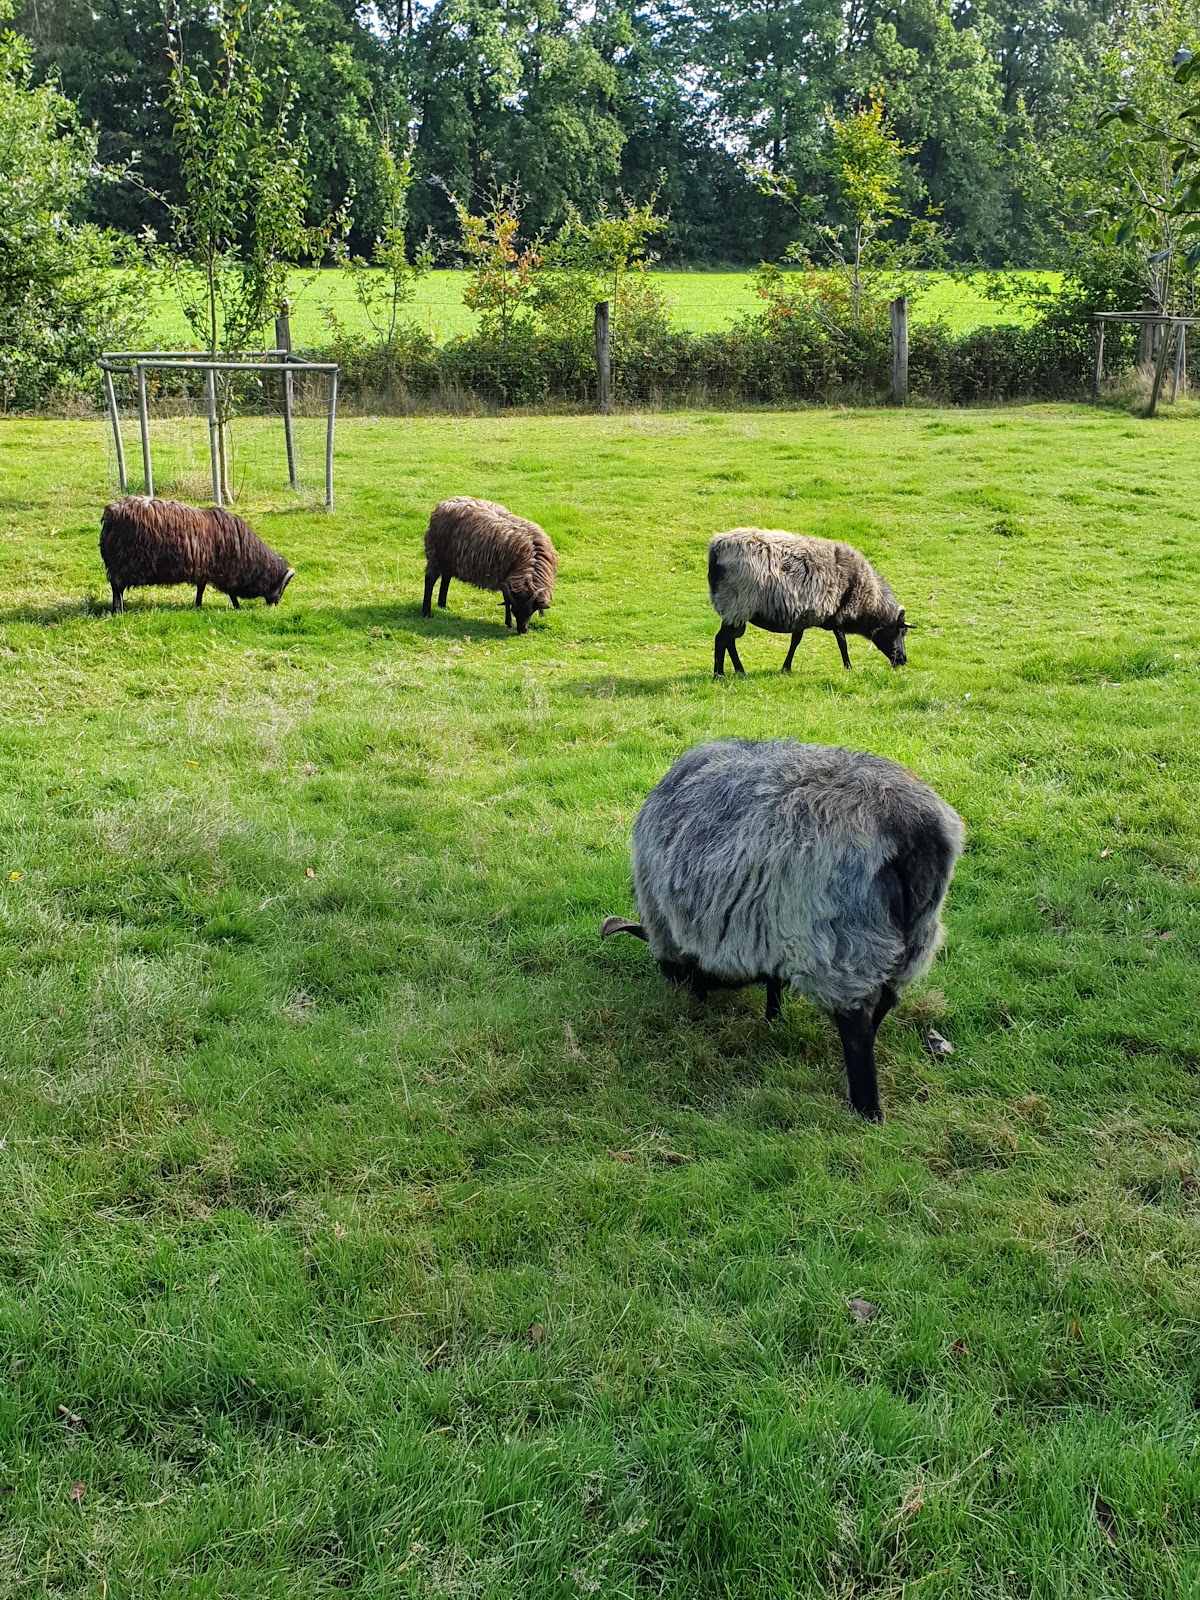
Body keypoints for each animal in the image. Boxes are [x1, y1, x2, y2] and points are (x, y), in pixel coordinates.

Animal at [100, 497, 294, 615]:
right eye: (282, 586)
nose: (275, 605)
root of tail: (111, 513)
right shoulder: (228, 573)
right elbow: (230, 592)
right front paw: (237, 607)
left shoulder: (203, 569)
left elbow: (201, 588)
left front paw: (198, 605)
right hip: (123, 564)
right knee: (117, 587)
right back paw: (118, 610)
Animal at [422, 496, 557, 634]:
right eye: (514, 611)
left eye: (531, 611)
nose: (522, 630)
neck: (531, 562)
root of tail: (443, 505)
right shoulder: (506, 578)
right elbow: (507, 600)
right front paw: (509, 623)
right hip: (436, 555)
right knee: (430, 580)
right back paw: (426, 613)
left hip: (449, 559)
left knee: (446, 577)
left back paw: (442, 605)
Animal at [601, 739, 964, 1121]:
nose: (678, 991)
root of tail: (910, 830)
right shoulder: (769, 925)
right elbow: (773, 981)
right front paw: (773, 1018)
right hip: (917, 937)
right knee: (886, 1001)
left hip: (844, 945)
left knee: (858, 1026)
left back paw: (866, 1109)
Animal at [707, 528, 910, 676]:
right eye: (900, 631)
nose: (903, 660)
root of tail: (716, 549)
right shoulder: (839, 616)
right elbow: (842, 643)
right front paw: (849, 667)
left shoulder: (802, 615)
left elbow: (795, 641)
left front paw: (786, 668)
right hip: (737, 604)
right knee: (722, 639)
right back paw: (719, 674)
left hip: (734, 610)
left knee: (730, 640)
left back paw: (739, 671)